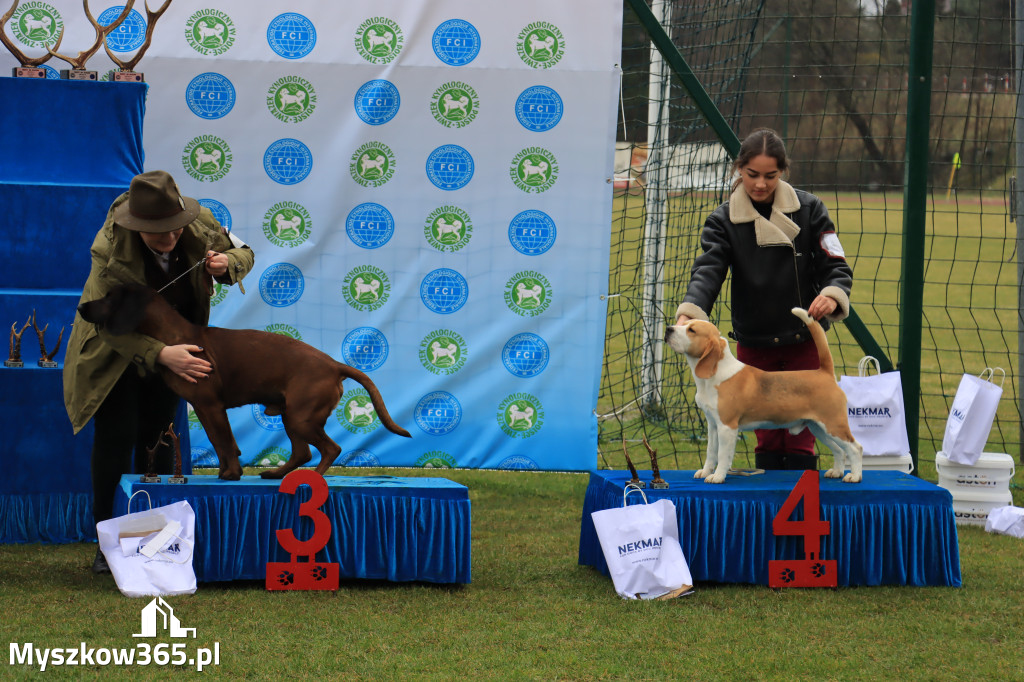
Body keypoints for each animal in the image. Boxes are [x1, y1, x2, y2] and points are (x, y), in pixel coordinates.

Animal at [78, 284, 411, 481]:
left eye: (109, 297)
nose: (81, 308)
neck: (173, 337)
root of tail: (334, 364)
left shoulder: (211, 406)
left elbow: (225, 442)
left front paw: (231, 473)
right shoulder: (204, 408)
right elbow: (219, 442)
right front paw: (228, 470)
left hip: (301, 416)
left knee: (330, 448)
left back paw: (313, 477)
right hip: (291, 415)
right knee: (302, 452)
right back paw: (278, 474)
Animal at [663, 307, 864, 483]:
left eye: (692, 330)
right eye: (684, 323)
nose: (668, 329)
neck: (715, 373)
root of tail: (824, 373)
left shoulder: (727, 427)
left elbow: (722, 455)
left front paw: (718, 477)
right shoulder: (713, 425)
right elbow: (711, 452)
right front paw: (705, 472)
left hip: (834, 425)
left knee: (856, 448)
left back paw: (854, 476)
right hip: (819, 428)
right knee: (840, 450)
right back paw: (837, 471)